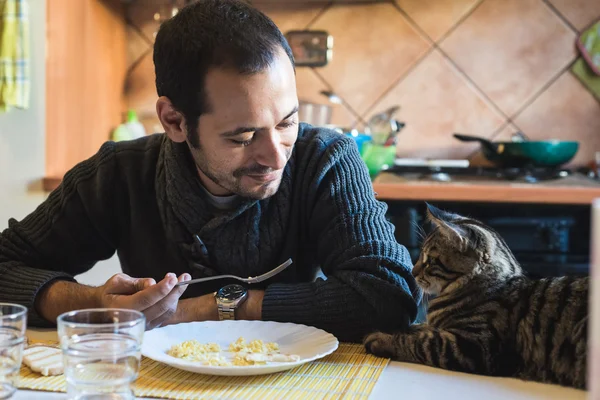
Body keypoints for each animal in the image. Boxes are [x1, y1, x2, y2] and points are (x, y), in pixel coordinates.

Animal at [364, 203, 588, 388]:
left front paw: (382, 339)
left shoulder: (475, 346)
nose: (413, 271)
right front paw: (403, 329)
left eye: (430, 260)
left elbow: (420, 343)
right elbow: (419, 328)